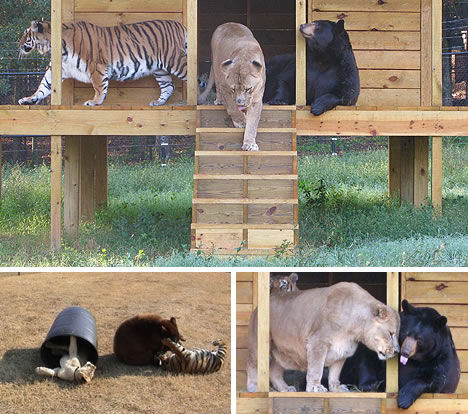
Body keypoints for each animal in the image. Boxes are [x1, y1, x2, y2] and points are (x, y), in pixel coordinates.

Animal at [18, 20, 186, 106]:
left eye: (26, 33)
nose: (18, 44)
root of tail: (180, 25)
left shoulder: (96, 66)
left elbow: (99, 86)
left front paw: (95, 101)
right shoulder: (58, 69)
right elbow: (43, 86)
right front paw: (29, 99)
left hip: (175, 60)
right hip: (160, 69)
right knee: (168, 86)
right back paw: (158, 102)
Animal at [197, 21, 266, 151]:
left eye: (248, 88)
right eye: (233, 89)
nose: (240, 102)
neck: (245, 56)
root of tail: (228, 23)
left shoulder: (256, 100)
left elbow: (253, 124)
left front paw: (249, 144)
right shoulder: (225, 87)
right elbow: (233, 108)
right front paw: (242, 121)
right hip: (217, 66)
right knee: (217, 83)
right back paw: (219, 100)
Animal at [247, 284, 400, 392]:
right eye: (391, 333)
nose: (397, 351)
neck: (355, 326)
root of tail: (257, 308)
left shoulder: (344, 349)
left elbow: (335, 372)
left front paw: (336, 388)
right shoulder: (317, 342)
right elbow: (316, 368)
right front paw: (315, 387)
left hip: (282, 353)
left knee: (274, 371)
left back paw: (285, 388)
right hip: (259, 344)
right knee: (252, 365)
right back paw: (253, 387)